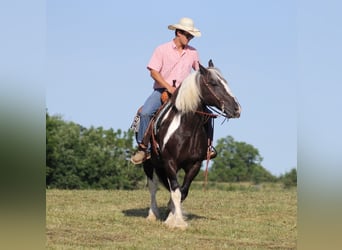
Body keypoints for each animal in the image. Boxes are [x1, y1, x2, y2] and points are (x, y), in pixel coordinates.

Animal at [140, 59, 239, 229]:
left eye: (225, 82)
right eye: (213, 83)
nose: (237, 108)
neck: (186, 129)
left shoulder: (195, 164)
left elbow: (183, 191)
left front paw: (172, 217)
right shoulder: (170, 162)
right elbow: (176, 191)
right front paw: (178, 222)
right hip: (149, 163)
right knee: (153, 187)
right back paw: (152, 214)